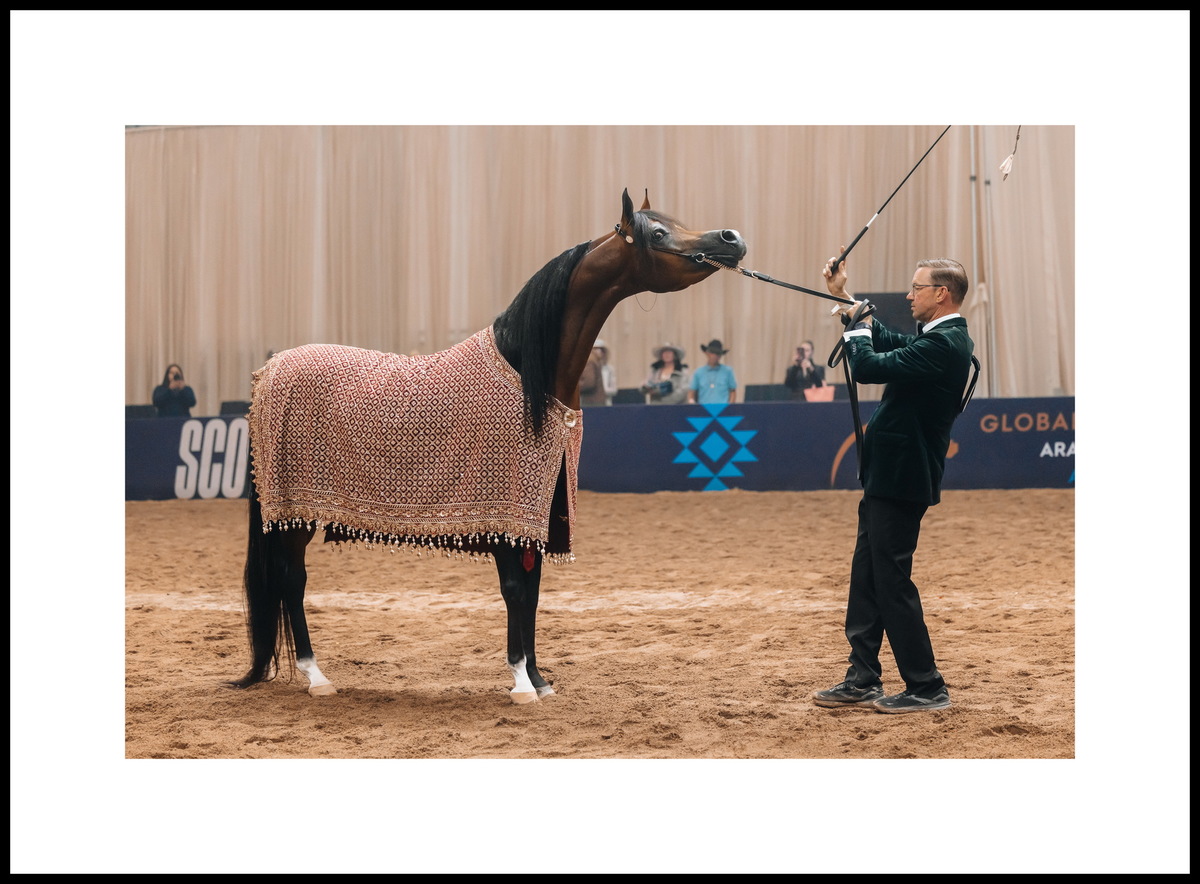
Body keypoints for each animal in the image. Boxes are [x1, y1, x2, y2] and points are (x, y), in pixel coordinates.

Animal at [228, 188, 747, 704]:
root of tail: (269, 371)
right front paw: (521, 682)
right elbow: (516, 589)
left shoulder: (538, 516)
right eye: (657, 233)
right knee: (292, 581)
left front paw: (538, 678)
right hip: (294, 516)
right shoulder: (506, 515)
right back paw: (316, 676)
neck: (529, 375)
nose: (731, 238)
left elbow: (533, 593)